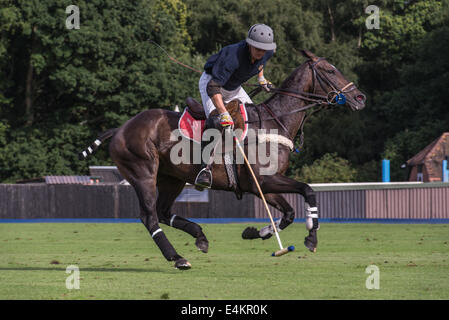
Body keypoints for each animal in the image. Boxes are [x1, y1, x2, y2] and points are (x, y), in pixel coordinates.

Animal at [79, 50, 364, 270]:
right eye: (330, 70)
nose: (360, 98)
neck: (275, 121)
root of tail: (120, 129)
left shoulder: (259, 185)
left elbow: (289, 212)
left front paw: (255, 232)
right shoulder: (264, 180)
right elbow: (308, 190)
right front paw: (311, 238)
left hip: (171, 179)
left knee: (162, 211)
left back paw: (200, 236)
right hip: (143, 173)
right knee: (149, 217)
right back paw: (178, 258)